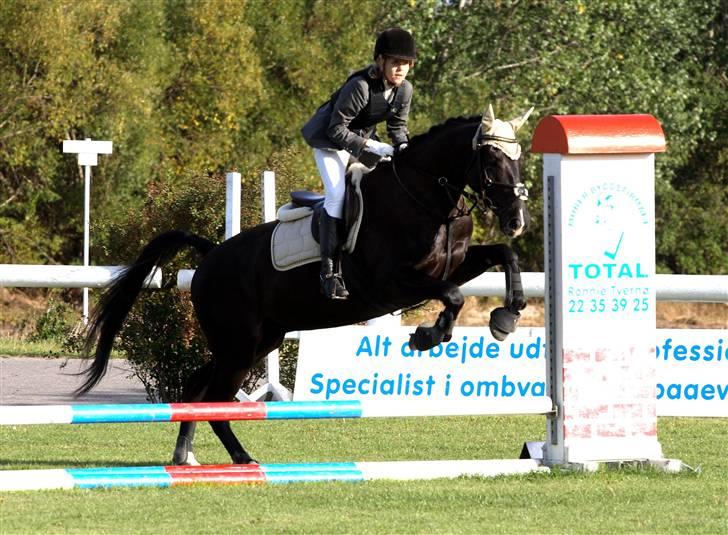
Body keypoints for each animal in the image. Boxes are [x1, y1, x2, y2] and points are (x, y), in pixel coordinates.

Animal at [78, 104, 536, 464]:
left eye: (519, 158)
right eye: (491, 160)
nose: (517, 221)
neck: (424, 196)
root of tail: (210, 256)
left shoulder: (449, 267)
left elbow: (502, 256)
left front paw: (506, 317)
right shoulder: (394, 283)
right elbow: (453, 296)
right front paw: (428, 335)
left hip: (253, 341)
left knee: (196, 387)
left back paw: (185, 456)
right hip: (240, 344)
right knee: (216, 399)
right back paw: (243, 458)